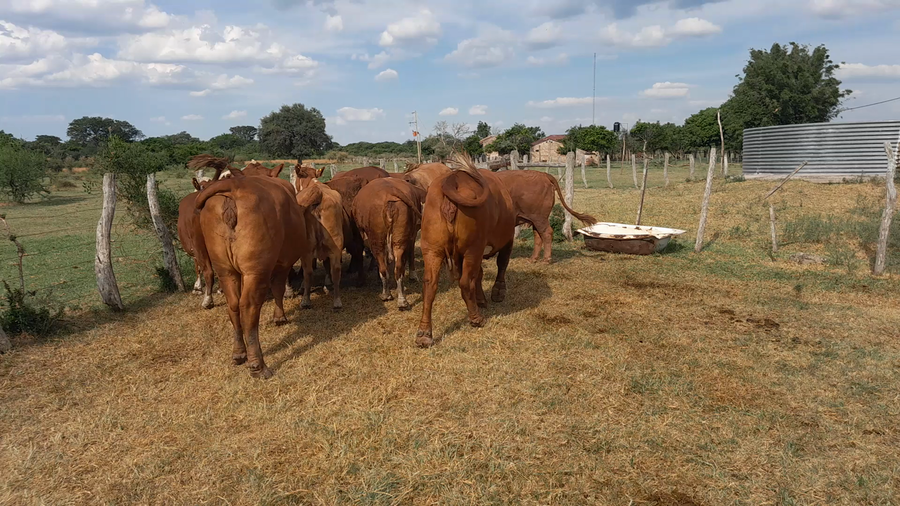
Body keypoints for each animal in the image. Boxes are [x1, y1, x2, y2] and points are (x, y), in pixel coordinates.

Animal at [195, 171, 313, 379]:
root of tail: (233, 186)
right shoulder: (282, 264)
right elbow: (278, 288)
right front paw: (279, 317)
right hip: (256, 270)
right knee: (248, 307)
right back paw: (258, 365)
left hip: (225, 269)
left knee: (233, 305)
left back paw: (239, 353)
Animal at [293, 165, 346, 310]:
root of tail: (319, 193)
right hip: (336, 243)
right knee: (336, 270)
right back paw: (337, 301)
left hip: (306, 247)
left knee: (308, 272)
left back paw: (305, 300)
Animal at [352, 178, 426, 311]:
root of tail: (391, 191)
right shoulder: (411, 235)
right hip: (400, 240)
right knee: (399, 269)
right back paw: (402, 301)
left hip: (377, 241)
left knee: (383, 268)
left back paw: (386, 294)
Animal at [414, 153, 516, 348]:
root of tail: (452, 179)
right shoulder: (507, 239)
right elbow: (501, 265)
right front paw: (497, 293)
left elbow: (479, 274)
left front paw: (480, 299)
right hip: (473, 248)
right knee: (465, 282)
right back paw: (476, 318)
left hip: (432, 249)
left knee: (429, 284)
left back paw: (424, 333)